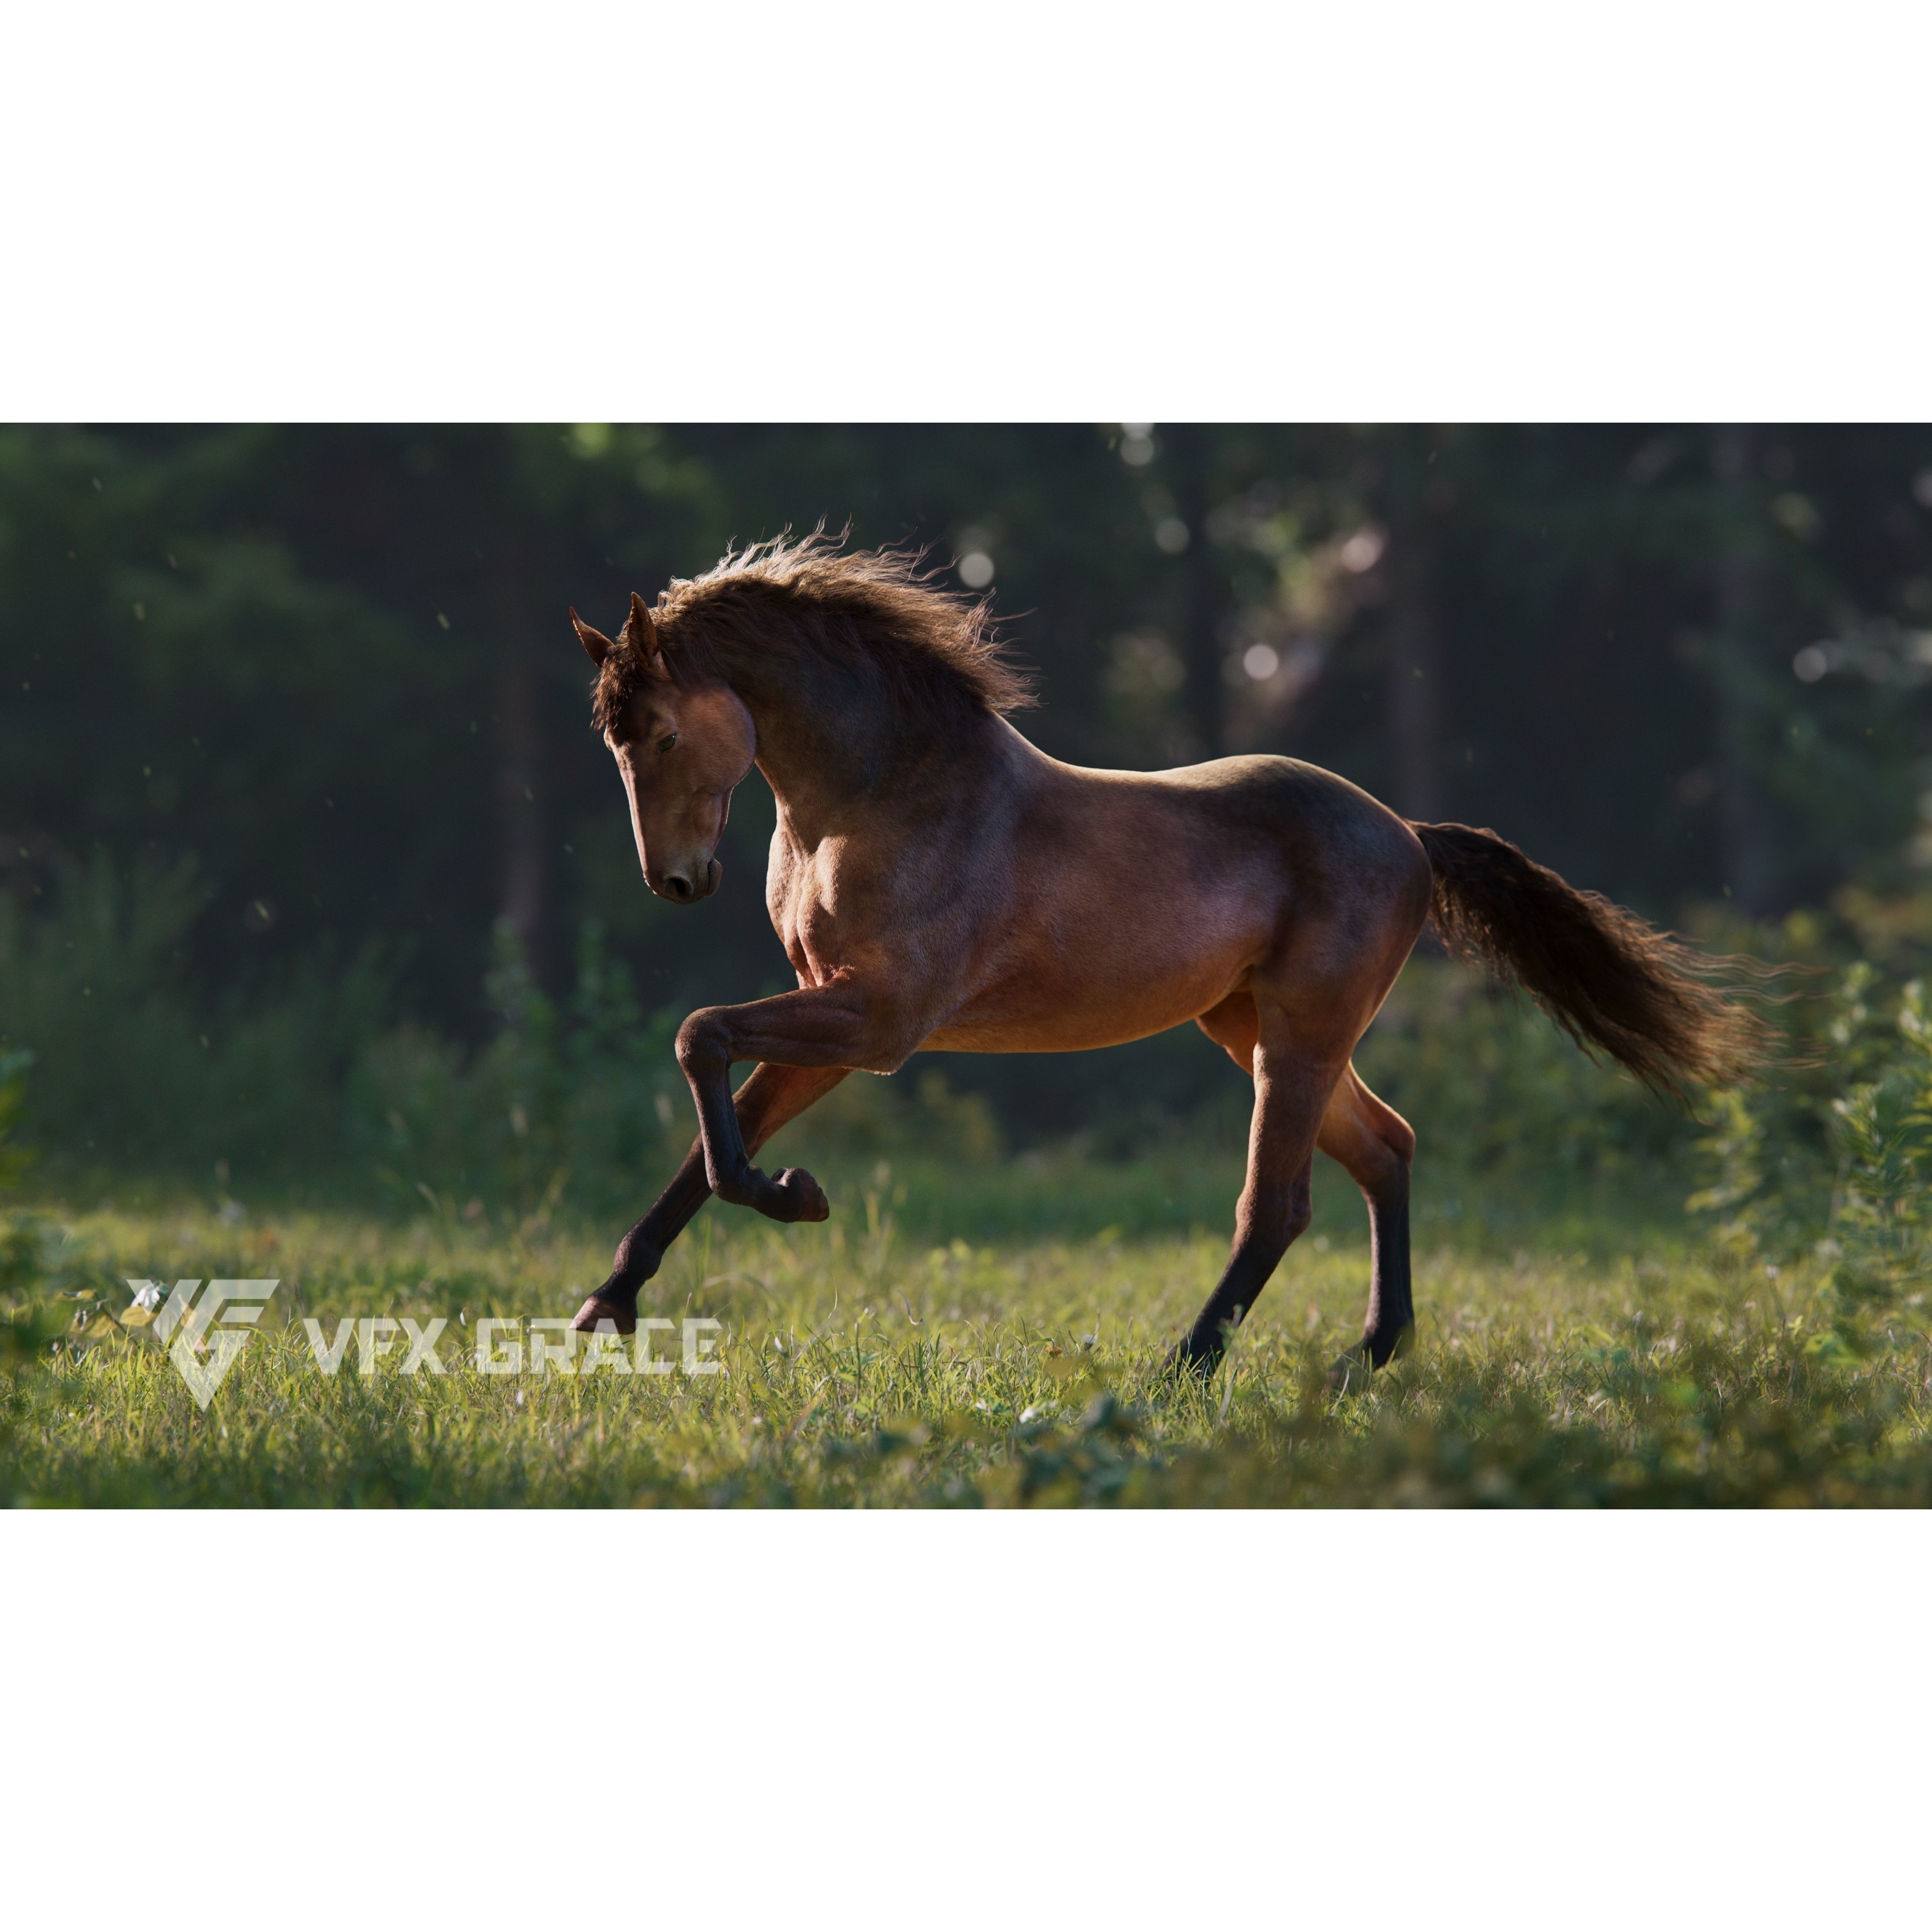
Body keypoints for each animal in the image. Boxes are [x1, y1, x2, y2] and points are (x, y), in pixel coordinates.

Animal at [565, 534, 1758, 1383]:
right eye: (611, 740)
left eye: (661, 731)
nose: (676, 882)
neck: (876, 798)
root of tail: (1410, 836)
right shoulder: (834, 1010)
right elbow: (713, 1115)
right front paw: (608, 1305)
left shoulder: (880, 1020)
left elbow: (699, 1041)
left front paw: (793, 1197)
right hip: (1250, 1026)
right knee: (1386, 1150)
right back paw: (1369, 1356)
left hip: (1300, 1036)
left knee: (1278, 1205)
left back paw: (1182, 1371)